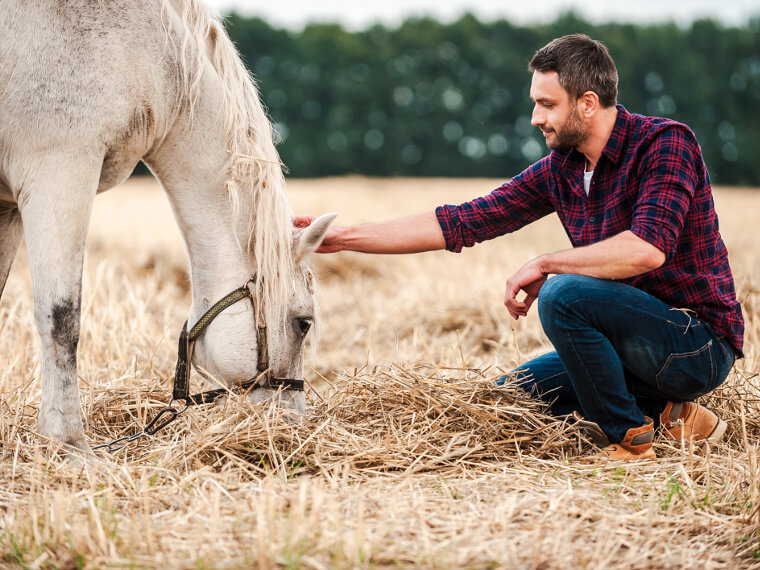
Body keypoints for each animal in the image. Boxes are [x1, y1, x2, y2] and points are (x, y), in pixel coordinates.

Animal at [0, 0, 334, 452]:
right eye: (304, 323)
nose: (291, 424)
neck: (154, 55)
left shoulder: (9, 205)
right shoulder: (59, 171)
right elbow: (62, 318)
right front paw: (68, 443)